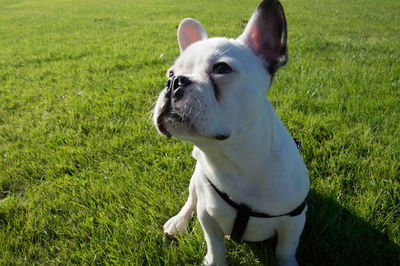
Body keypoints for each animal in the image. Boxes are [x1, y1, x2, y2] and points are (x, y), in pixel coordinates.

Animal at [153, 1, 310, 264]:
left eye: (221, 69)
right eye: (171, 73)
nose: (174, 82)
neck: (233, 159)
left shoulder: (294, 221)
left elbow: (285, 249)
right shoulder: (207, 216)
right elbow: (214, 244)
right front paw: (213, 260)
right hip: (195, 182)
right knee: (190, 201)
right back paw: (178, 223)